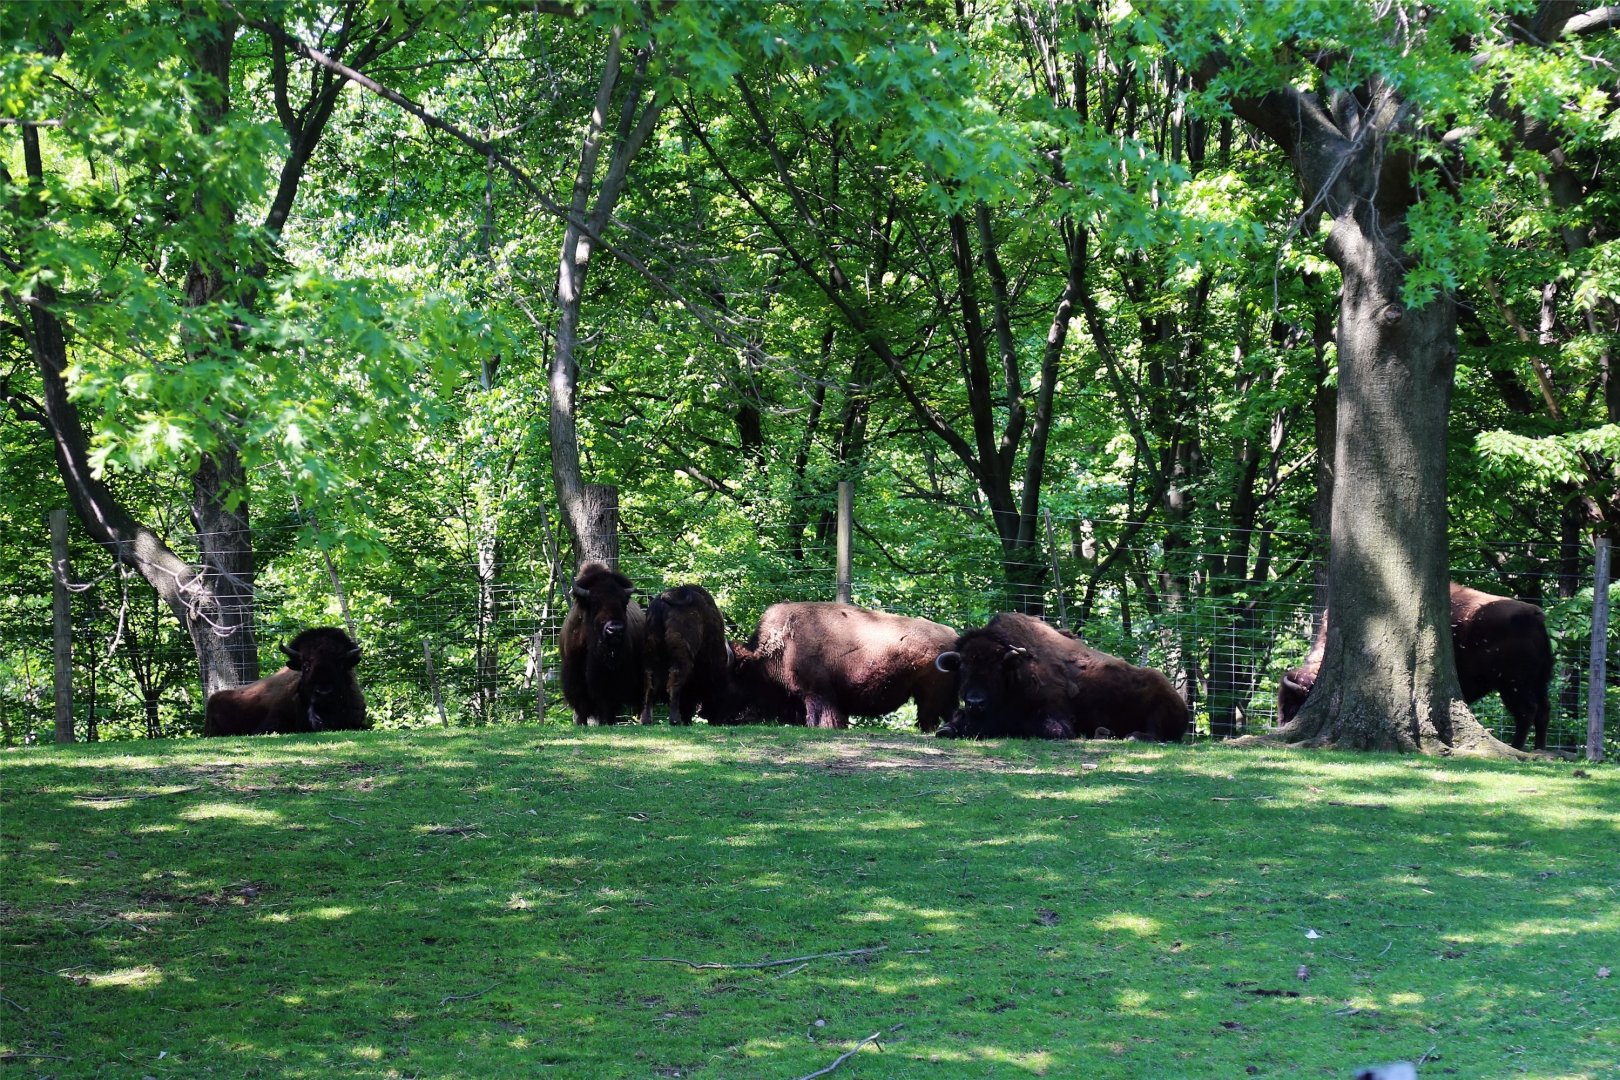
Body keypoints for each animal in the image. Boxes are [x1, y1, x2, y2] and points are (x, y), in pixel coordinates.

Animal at [559, 562, 646, 726]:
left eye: (624, 602)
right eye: (594, 603)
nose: (615, 629)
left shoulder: (607, 683)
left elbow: (607, 705)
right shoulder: (574, 679)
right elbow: (582, 708)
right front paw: (581, 724)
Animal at [640, 584, 731, 726]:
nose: (716, 720)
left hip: (651, 653)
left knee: (650, 684)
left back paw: (646, 720)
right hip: (682, 657)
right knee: (675, 682)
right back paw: (675, 720)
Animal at [705, 601, 958, 730]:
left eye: (728, 681)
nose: (708, 715)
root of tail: (954, 636)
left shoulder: (816, 694)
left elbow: (821, 715)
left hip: (928, 694)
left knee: (928, 717)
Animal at [934, 612, 1189, 742]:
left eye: (997, 668)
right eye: (963, 667)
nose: (975, 702)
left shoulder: (1056, 719)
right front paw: (947, 729)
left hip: (1158, 704)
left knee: (1156, 734)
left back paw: (1130, 736)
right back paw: (1104, 732)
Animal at [1276, 582, 1554, 750]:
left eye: (1292, 705)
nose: (1282, 726)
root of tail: (1535, 616)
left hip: (1514, 685)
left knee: (1527, 712)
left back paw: (1517, 747)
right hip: (1538, 683)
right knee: (1543, 711)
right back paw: (1539, 749)